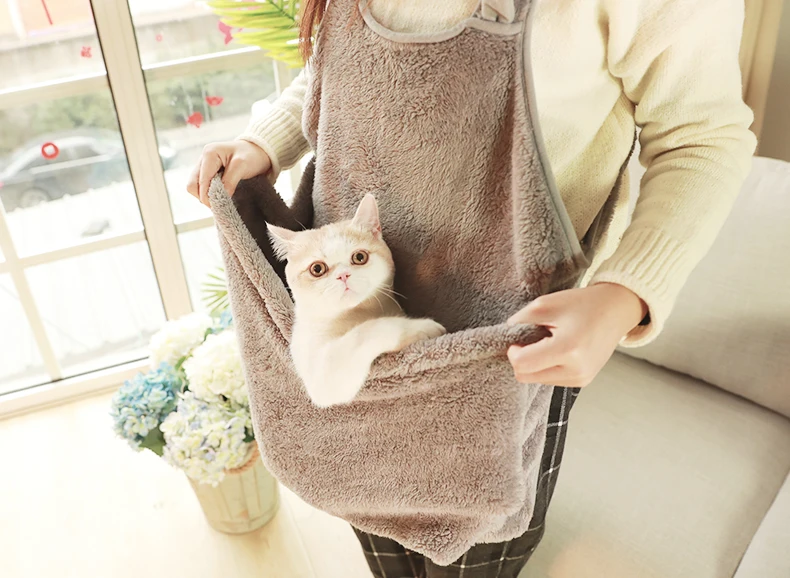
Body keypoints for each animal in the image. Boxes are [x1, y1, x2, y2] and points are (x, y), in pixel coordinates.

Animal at [268, 194, 446, 408]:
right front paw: (421, 328)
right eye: (317, 269)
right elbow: (363, 332)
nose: (343, 275)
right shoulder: (320, 373)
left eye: (359, 257)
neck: (357, 314)